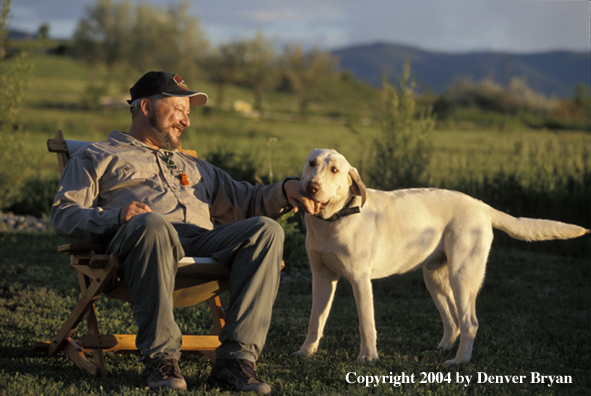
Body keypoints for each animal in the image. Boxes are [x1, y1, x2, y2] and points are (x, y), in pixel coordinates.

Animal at [294, 148, 588, 366]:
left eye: (334, 170)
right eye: (311, 163)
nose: (311, 187)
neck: (331, 220)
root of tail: (481, 205)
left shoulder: (360, 280)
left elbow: (366, 323)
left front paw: (368, 357)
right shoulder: (321, 278)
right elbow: (315, 320)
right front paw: (306, 351)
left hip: (462, 276)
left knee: (469, 323)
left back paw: (459, 361)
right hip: (435, 279)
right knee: (453, 321)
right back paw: (442, 350)